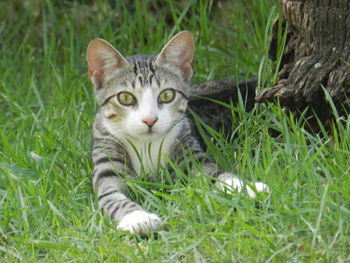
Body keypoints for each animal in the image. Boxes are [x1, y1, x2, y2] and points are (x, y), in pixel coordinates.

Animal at [87, 31, 268, 235]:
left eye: (167, 95)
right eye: (125, 97)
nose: (150, 120)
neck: (147, 145)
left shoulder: (190, 151)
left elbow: (213, 172)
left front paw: (246, 188)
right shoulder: (107, 160)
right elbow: (111, 194)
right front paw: (137, 217)